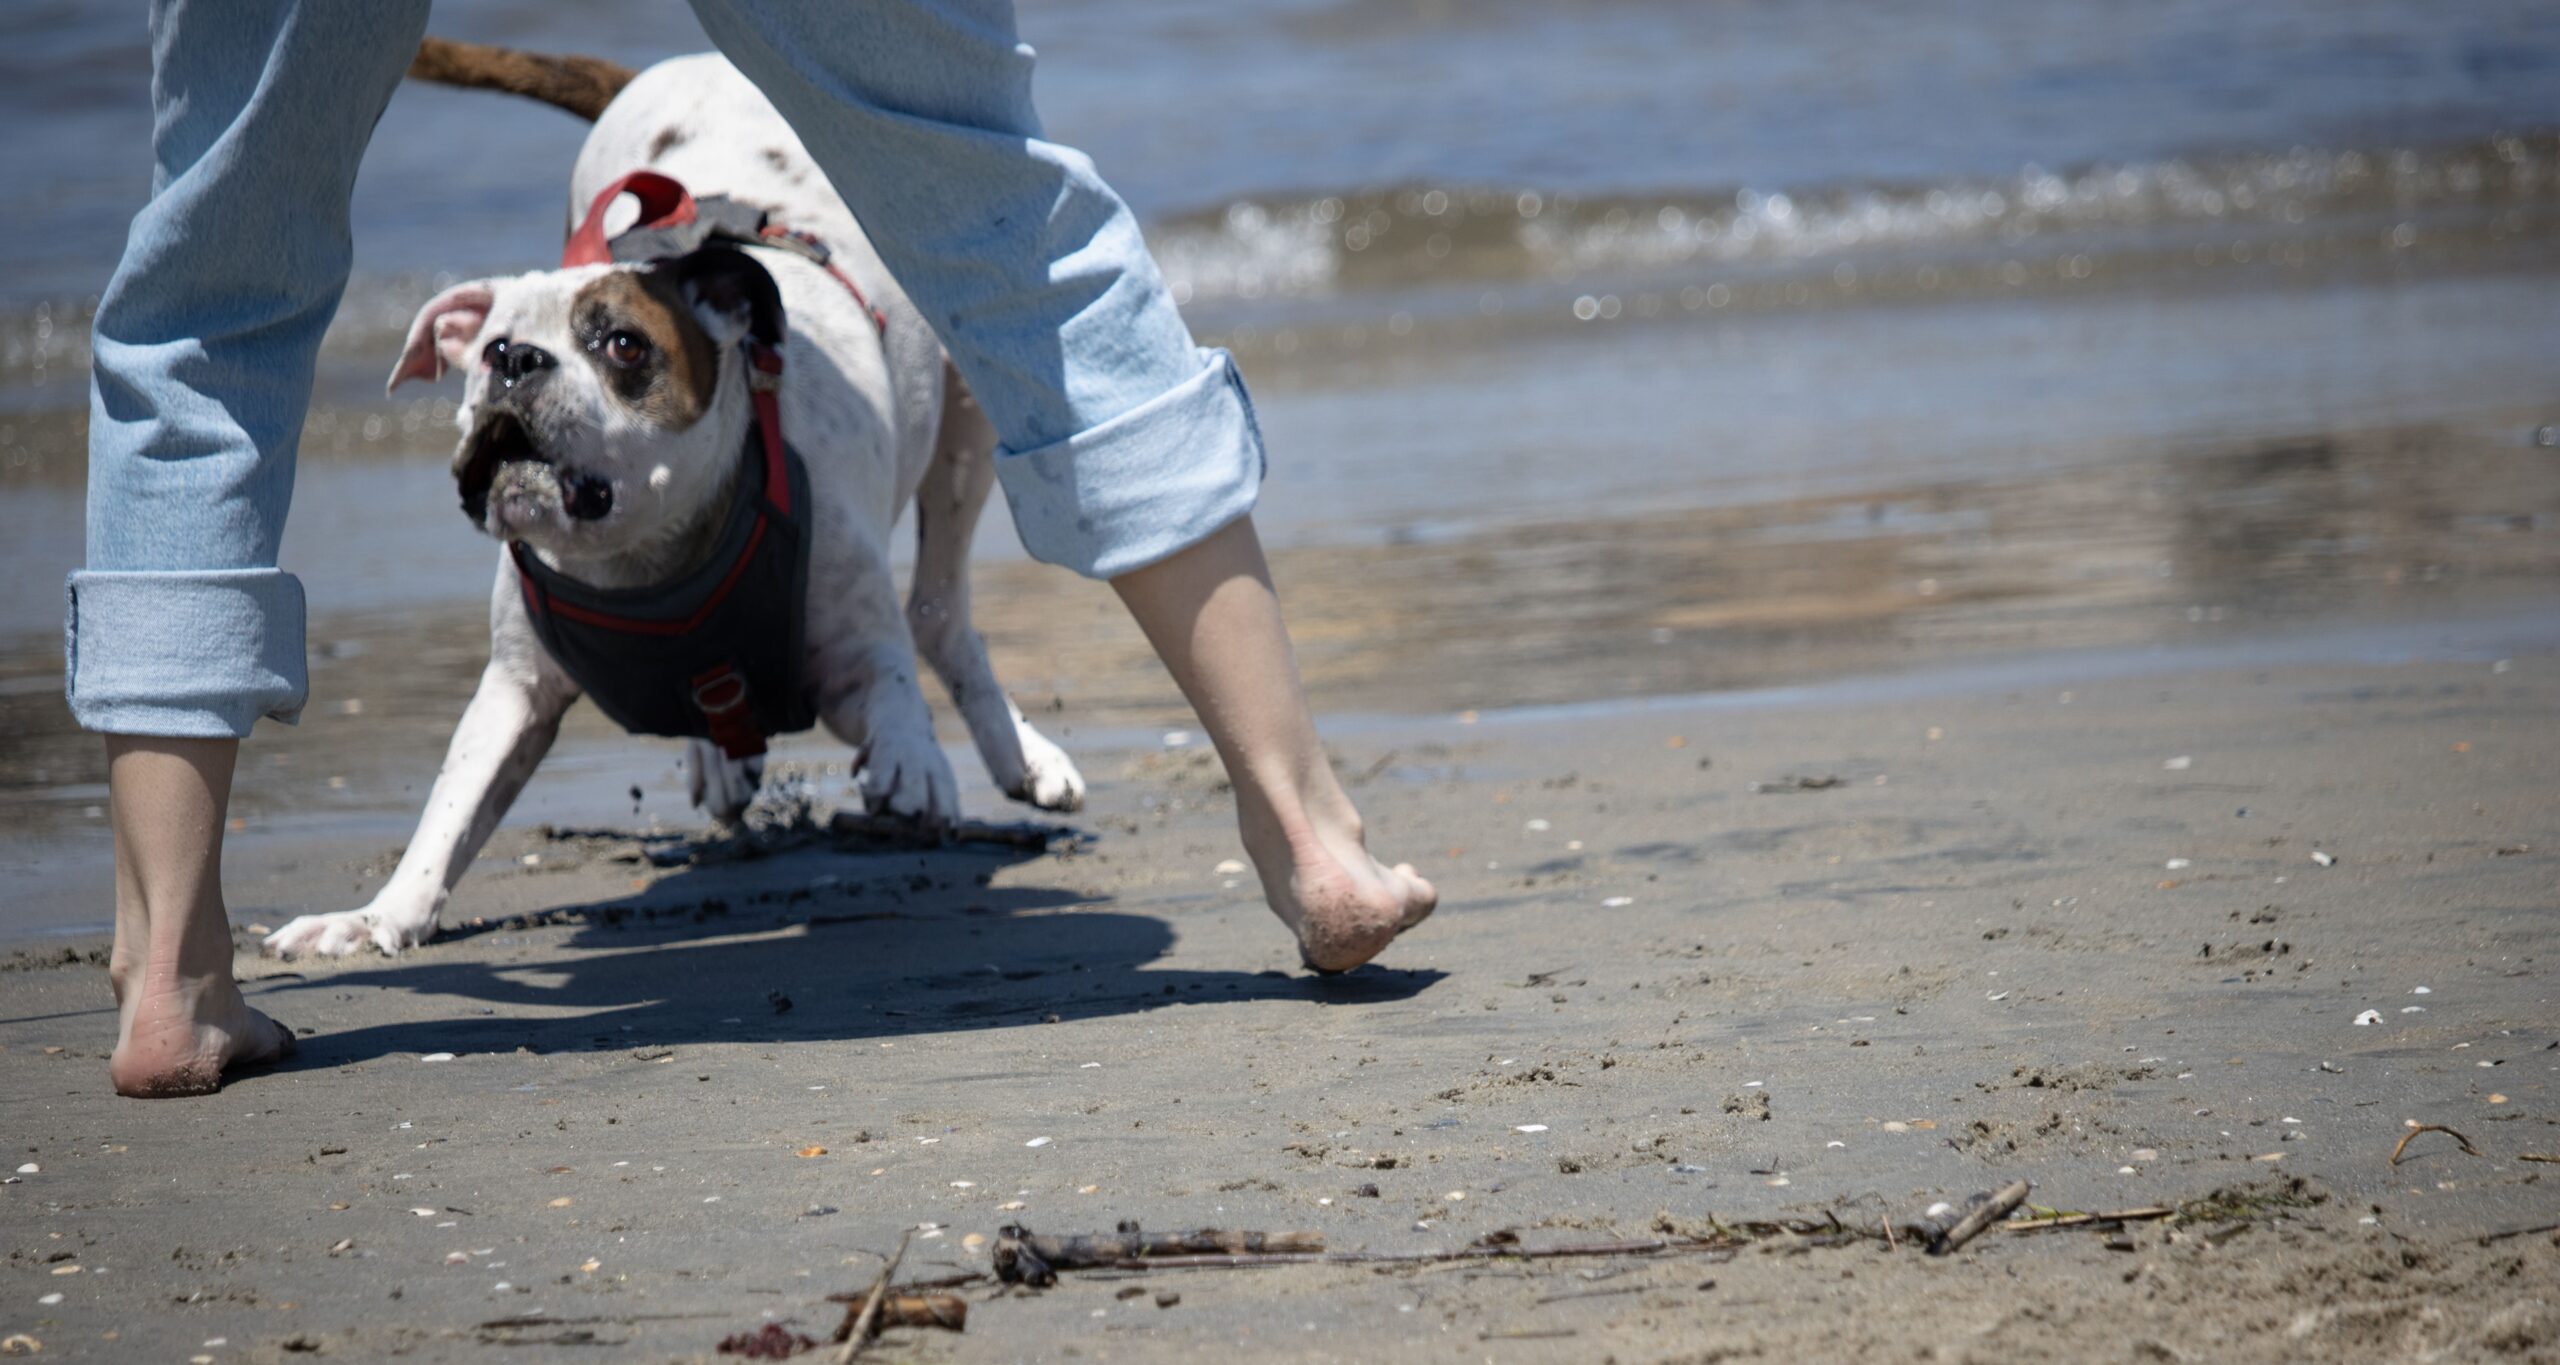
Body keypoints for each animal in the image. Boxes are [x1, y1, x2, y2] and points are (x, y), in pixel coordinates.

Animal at [264, 42, 1085, 957]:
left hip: (967, 417)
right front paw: (375, 916)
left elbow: (892, 687)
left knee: (938, 608)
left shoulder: (853, 650)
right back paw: (721, 756)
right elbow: (450, 812)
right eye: (487, 351)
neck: (646, 562)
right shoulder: (513, 693)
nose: (518, 361)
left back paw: (1020, 753)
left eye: (623, 345)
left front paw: (914, 755)